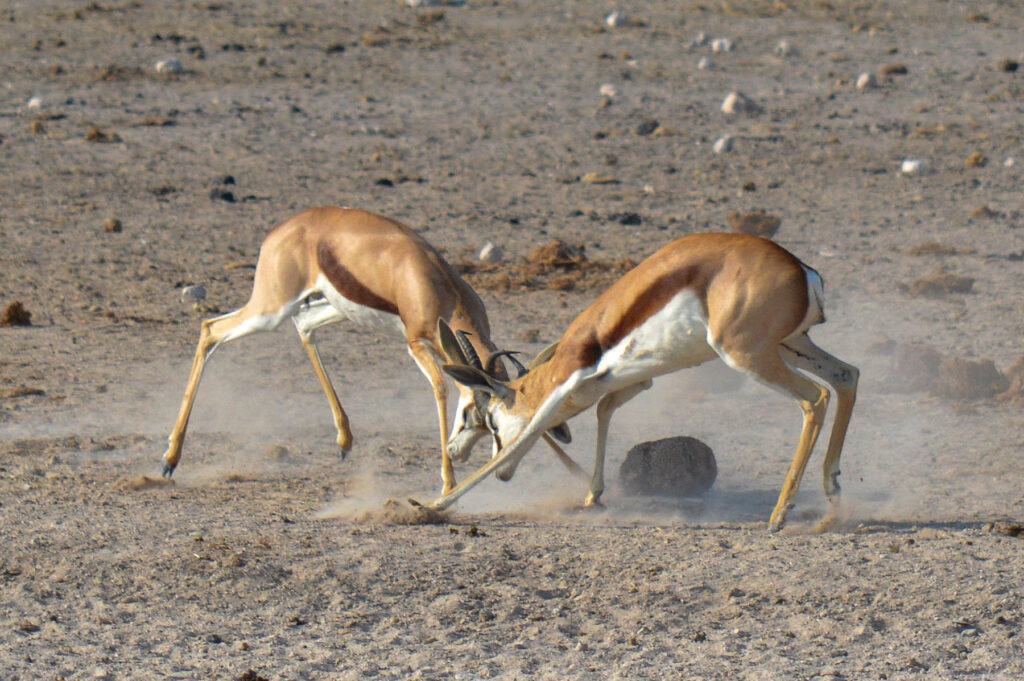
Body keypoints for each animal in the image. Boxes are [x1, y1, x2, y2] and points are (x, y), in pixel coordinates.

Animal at [161, 206, 575, 492]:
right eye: (469, 415)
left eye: (491, 425)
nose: (458, 451)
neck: (436, 286)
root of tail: (282, 229)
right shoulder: (415, 342)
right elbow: (441, 387)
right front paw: (447, 483)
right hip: (271, 309)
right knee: (210, 330)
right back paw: (169, 460)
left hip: (329, 307)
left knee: (304, 328)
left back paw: (345, 440)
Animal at [425, 232, 859, 532]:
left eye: (486, 419)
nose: (454, 449)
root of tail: (802, 271)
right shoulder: (634, 381)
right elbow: (603, 411)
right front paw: (592, 496)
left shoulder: (567, 383)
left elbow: (526, 435)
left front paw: (430, 506)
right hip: (790, 345)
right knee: (847, 375)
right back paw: (832, 492)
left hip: (747, 354)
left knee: (816, 398)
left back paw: (780, 514)